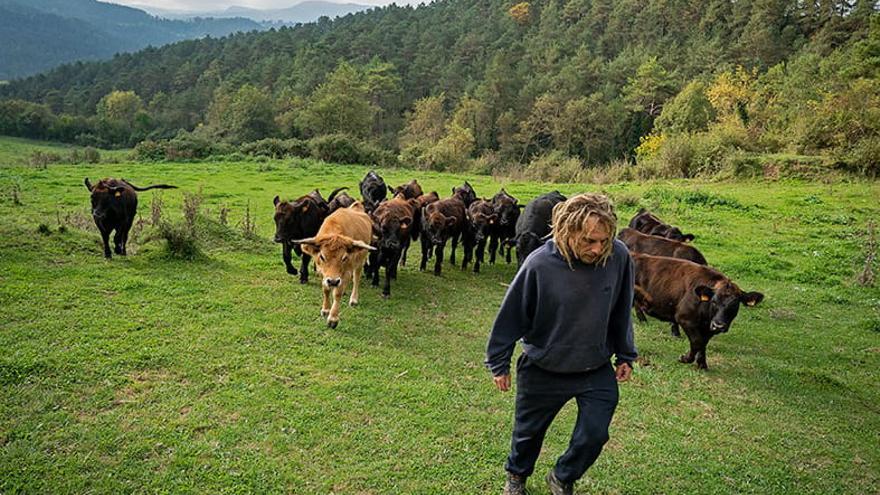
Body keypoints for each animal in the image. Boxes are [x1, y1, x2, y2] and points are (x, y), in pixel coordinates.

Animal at [632, 254, 764, 370]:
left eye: (735, 305)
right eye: (714, 301)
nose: (718, 325)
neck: (706, 315)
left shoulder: (708, 328)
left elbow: (703, 343)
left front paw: (702, 364)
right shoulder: (684, 318)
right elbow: (697, 341)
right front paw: (685, 358)